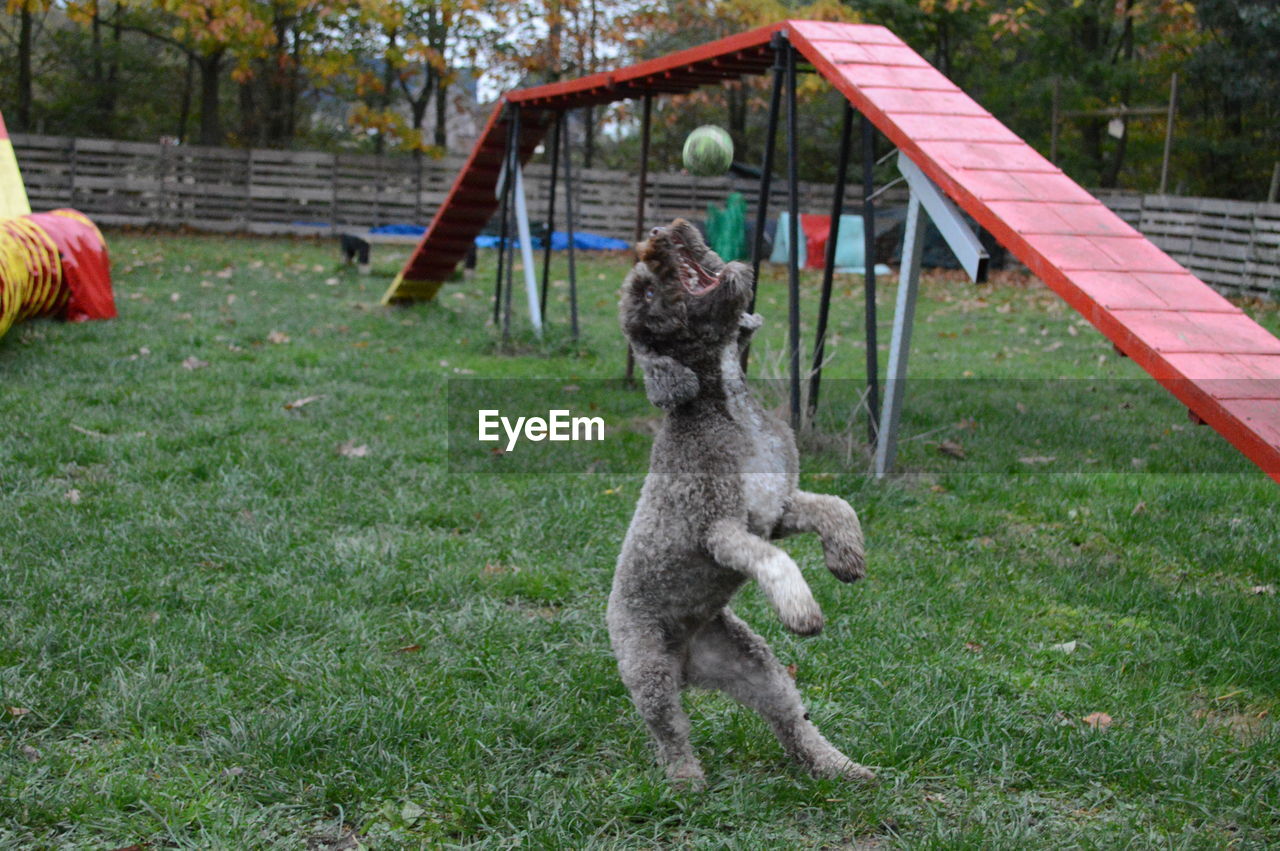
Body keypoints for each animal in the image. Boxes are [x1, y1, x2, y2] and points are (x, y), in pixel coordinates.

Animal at [606, 218, 870, 783]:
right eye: (648, 293)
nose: (660, 229)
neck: (727, 409)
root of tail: (687, 664)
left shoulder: (778, 506)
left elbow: (836, 505)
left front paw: (846, 558)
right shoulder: (719, 528)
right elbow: (775, 560)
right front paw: (801, 609)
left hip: (754, 665)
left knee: (792, 722)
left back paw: (839, 766)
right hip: (647, 667)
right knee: (670, 732)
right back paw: (686, 782)